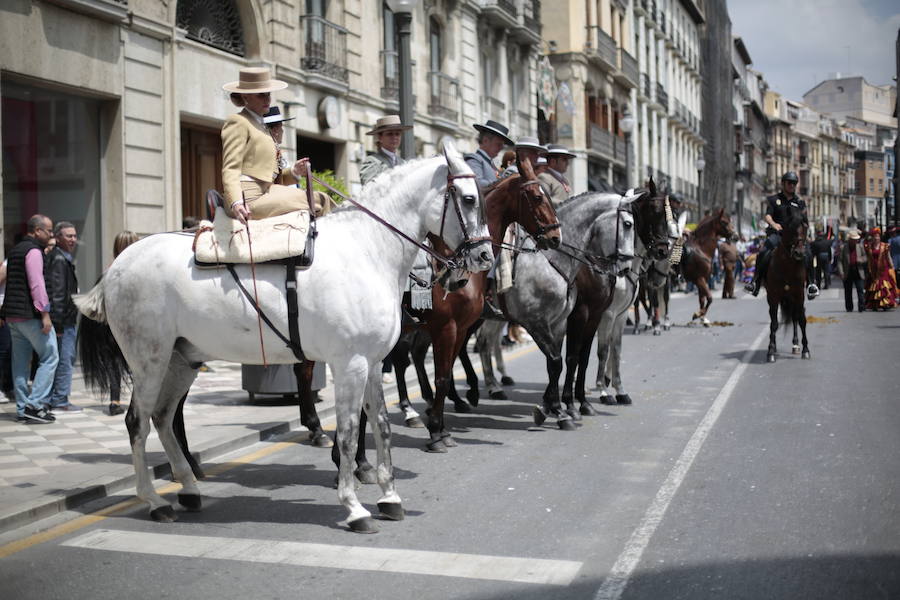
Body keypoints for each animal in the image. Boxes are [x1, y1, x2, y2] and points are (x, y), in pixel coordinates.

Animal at [75, 145, 492, 536]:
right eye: (469, 199)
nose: (485, 257)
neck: (367, 251)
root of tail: (119, 264)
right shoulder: (350, 365)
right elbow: (347, 433)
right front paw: (354, 507)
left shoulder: (373, 363)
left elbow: (381, 426)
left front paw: (390, 497)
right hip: (149, 360)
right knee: (138, 422)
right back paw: (154, 500)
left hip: (182, 360)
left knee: (162, 417)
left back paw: (189, 488)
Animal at [764, 211, 812, 360]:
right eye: (790, 229)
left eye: (806, 228)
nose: (799, 253)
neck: (787, 265)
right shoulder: (773, 296)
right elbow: (774, 323)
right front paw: (771, 350)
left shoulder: (799, 294)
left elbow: (802, 320)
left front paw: (805, 350)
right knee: (774, 319)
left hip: (792, 298)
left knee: (795, 317)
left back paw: (796, 345)